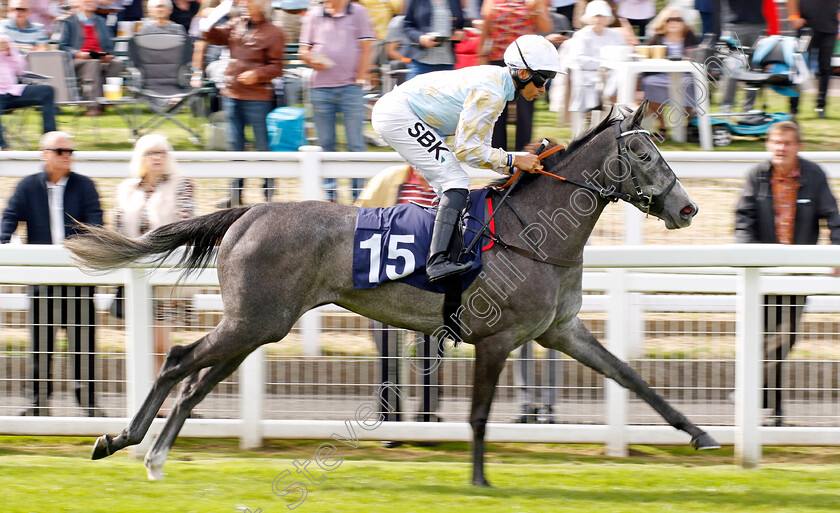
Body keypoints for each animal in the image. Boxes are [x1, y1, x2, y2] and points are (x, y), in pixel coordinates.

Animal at [65, 104, 720, 484]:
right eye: (643, 153)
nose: (686, 208)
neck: (532, 232)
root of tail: (248, 212)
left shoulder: (562, 331)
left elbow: (630, 376)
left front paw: (701, 434)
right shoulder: (498, 338)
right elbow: (479, 413)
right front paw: (480, 480)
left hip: (258, 326)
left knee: (196, 381)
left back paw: (152, 453)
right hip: (251, 323)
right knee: (178, 360)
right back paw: (119, 440)